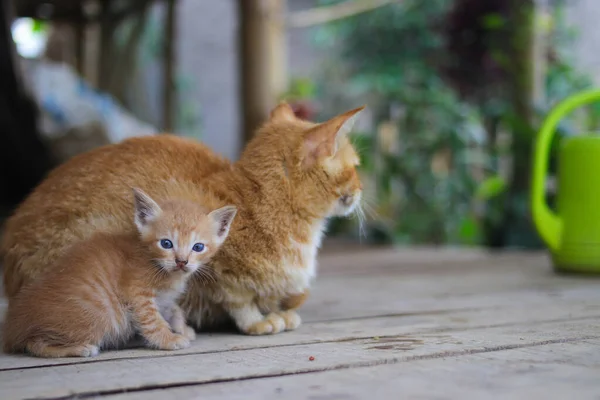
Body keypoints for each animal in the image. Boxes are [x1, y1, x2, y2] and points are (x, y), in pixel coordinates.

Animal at [2, 102, 364, 334]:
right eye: (356, 166)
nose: (361, 188)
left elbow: (291, 295)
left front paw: (279, 311)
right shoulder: (214, 270)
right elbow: (239, 300)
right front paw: (259, 320)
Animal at [2, 189, 237, 358]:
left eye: (198, 247)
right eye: (166, 243)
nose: (181, 261)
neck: (163, 270)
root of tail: (13, 325)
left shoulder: (164, 297)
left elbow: (174, 310)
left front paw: (181, 328)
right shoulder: (137, 291)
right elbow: (152, 319)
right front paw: (169, 339)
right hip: (95, 317)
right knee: (33, 343)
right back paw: (79, 348)